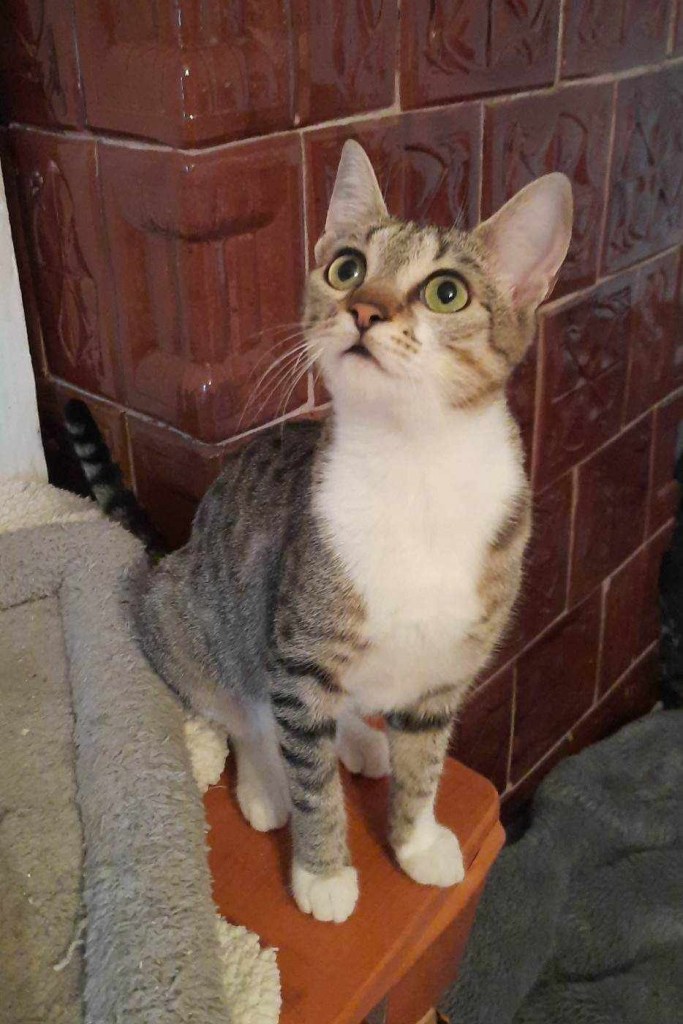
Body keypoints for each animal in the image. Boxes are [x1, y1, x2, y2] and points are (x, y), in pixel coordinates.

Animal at [67, 141, 572, 923]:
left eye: (446, 292)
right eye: (347, 268)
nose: (364, 309)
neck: (414, 465)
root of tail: (170, 555)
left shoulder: (446, 668)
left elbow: (425, 764)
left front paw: (415, 841)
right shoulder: (298, 658)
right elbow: (310, 780)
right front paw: (323, 871)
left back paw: (363, 742)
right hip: (196, 615)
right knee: (243, 712)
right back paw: (264, 783)